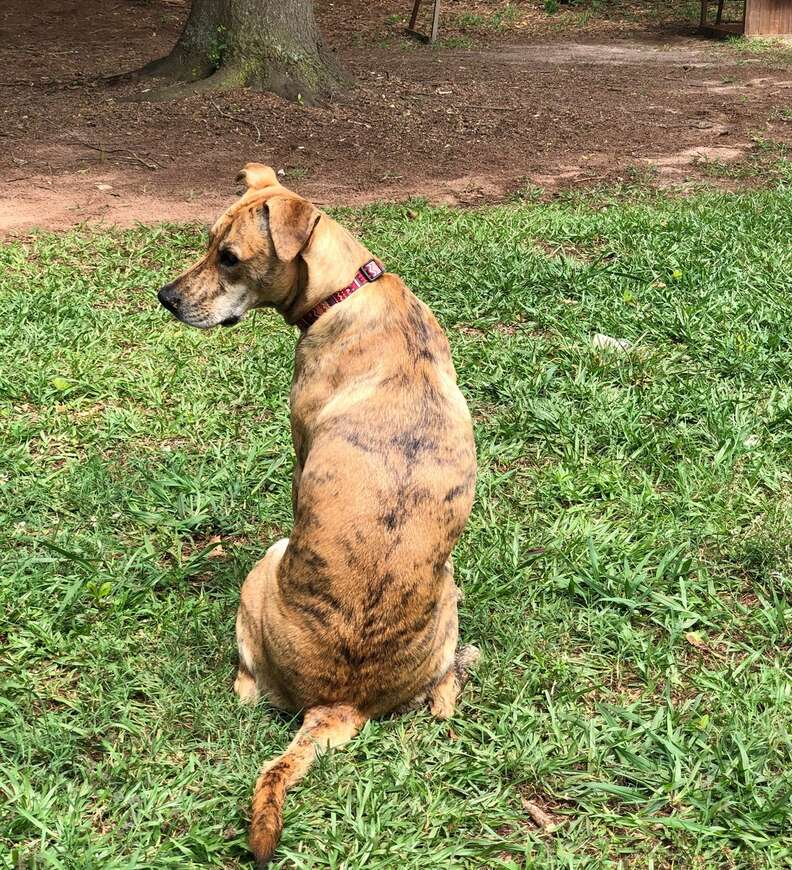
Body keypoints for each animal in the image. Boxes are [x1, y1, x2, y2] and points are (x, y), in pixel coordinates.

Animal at [155, 165, 476, 864]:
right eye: (207, 241)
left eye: (229, 257)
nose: (166, 297)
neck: (345, 291)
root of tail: (341, 702)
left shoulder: (300, 445)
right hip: (450, 593)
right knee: (442, 699)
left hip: (262, 570)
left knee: (249, 688)